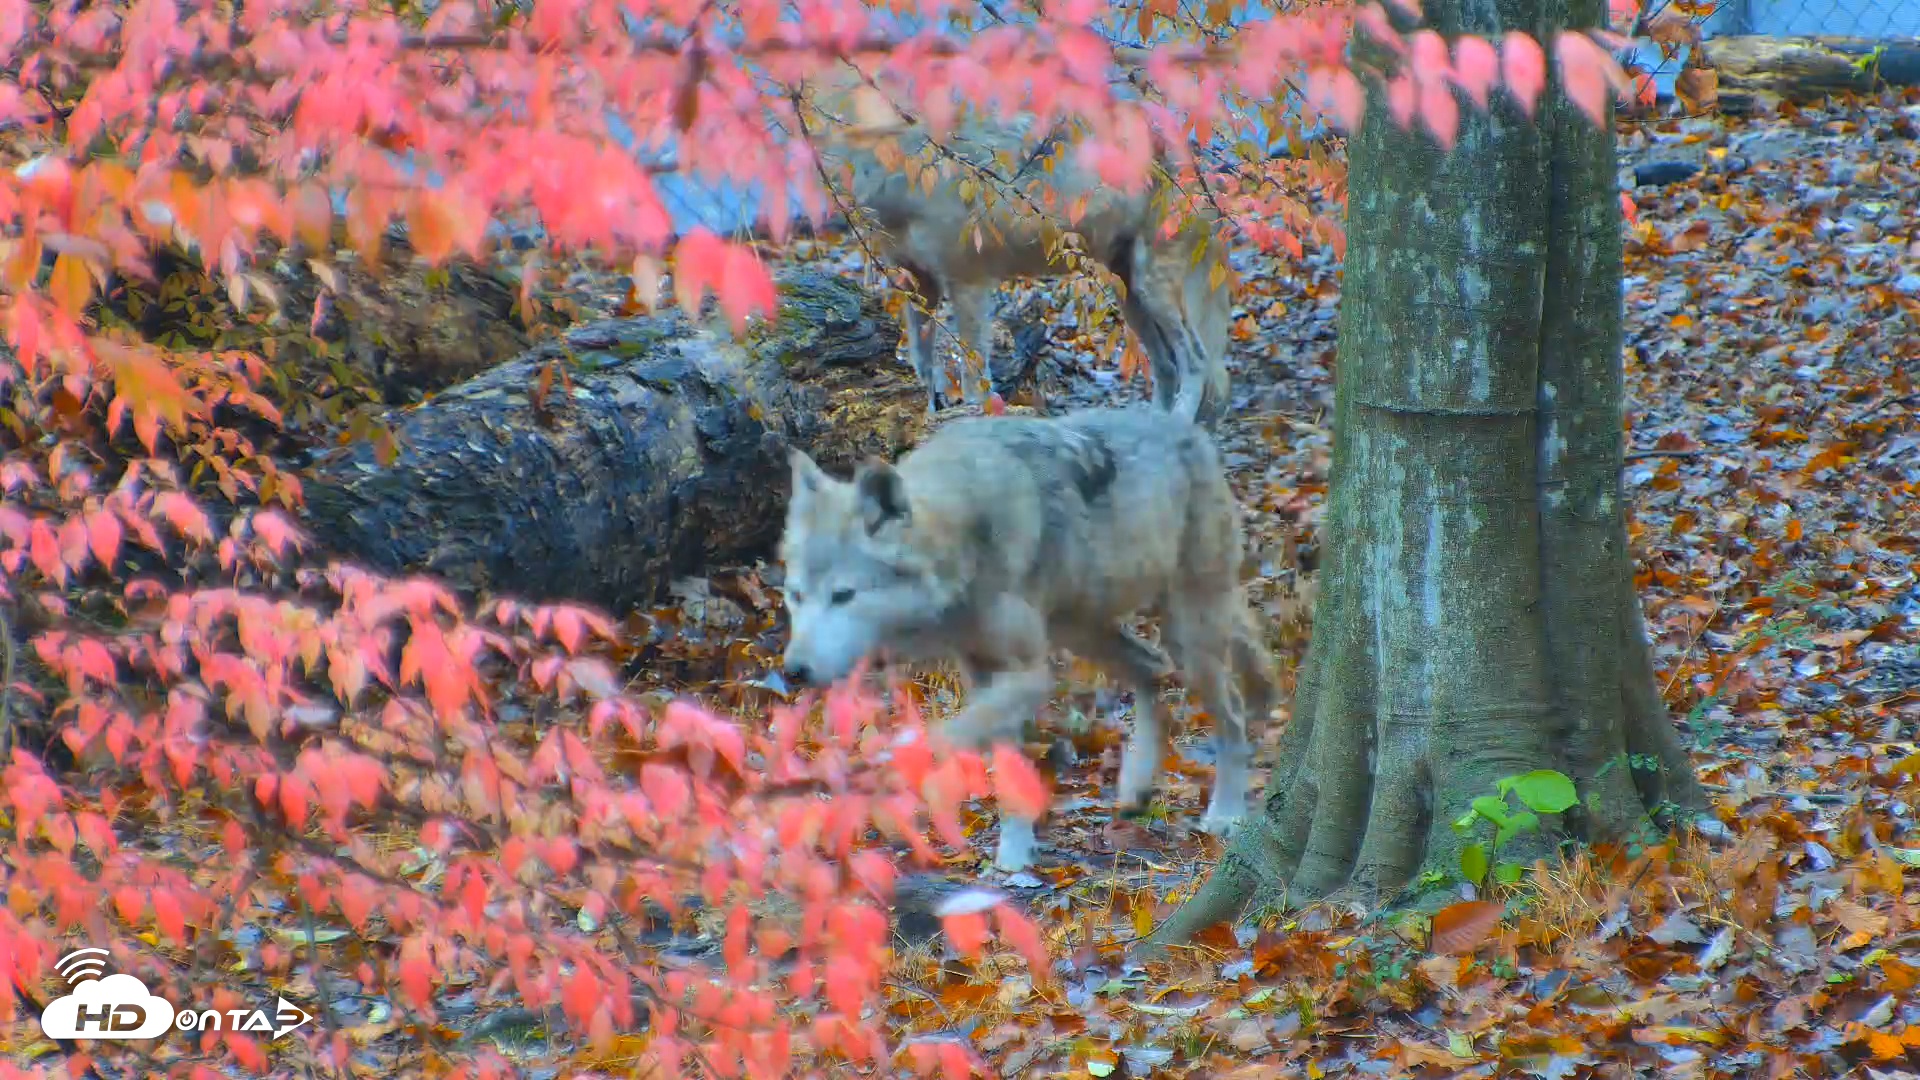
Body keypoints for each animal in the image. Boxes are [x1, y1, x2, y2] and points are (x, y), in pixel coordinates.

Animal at [777, 406, 1280, 872]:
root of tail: (1185, 425)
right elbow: (1005, 775)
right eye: (795, 595)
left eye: (843, 595)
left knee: (1231, 711)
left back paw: (1225, 812)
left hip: (1187, 636)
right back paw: (1137, 784)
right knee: (1154, 669)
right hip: (1087, 633)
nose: (794, 671)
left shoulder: (1029, 675)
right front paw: (1014, 852)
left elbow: (948, 734)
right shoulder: (984, 674)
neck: (966, 542)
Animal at [808, 79, 1235, 426]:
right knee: (1168, 368)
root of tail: (1186, 148)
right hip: (1130, 298)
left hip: (1153, 291)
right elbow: (923, 366)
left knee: (1197, 364)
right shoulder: (918, 285)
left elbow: (973, 375)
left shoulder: (968, 284)